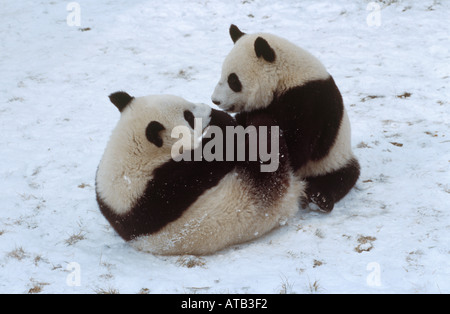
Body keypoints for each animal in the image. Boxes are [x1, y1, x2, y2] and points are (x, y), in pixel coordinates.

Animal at [96, 91, 304, 255]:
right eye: (188, 116)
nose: (209, 110)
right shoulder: (155, 191)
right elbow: (208, 162)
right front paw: (223, 123)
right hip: (259, 187)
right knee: (266, 146)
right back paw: (256, 120)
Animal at [212, 23, 362, 211]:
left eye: (233, 81)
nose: (215, 100)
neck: (285, 77)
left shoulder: (308, 102)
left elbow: (295, 148)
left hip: (332, 158)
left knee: (344, 175)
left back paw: (320, 197)